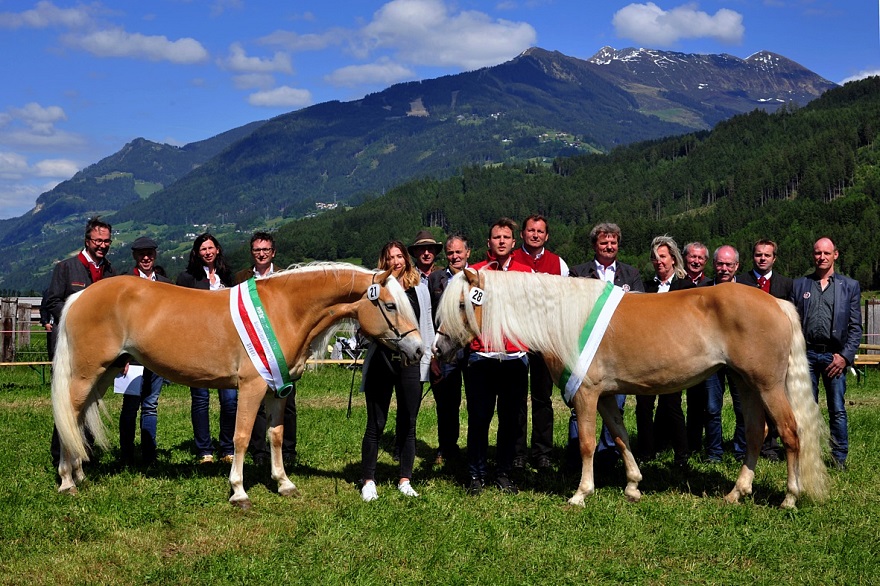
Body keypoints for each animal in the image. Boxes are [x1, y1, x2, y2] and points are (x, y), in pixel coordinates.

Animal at [51, 262, 422, 506]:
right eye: (391, 305)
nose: (418, 349)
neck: (283, 310)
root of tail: (80, 297)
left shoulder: (278, 389)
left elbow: (276, 435)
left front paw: (283, 482)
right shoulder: (252, 386)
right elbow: (241, 436)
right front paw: (239, 490)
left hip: (102, 374)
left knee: (78, 418)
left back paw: (79, 474)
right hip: (86, 374)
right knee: (67, 415)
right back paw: (67, 480)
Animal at [436, 268, 828, 506]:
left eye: (462, 303)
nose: (438, 349)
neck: (563, 319)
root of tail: (776, 302)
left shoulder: (586, 393)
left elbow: (589, 443)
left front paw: (581, 493)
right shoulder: (606, 396)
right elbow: (621, 436)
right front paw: (633, 486)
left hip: (769, 385)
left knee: (790, 433)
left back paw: (789, 498)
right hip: (745, 384)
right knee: (758, 433)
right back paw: (736, 492)